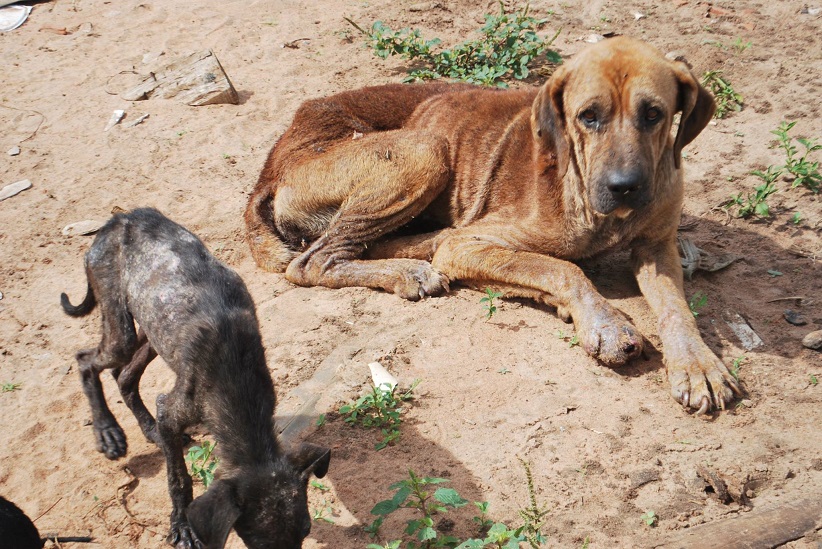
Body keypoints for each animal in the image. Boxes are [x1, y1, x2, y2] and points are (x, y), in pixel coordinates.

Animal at [62, 209, 332, 548]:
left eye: (305, 531)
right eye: (258, 544)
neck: (237, 381)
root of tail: (119, 218)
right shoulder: (172, 410)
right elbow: (178, 477)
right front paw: (182, 525)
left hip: (153, 330)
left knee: (123, 375)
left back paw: (148, 429)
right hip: (120, 330)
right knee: (86, 360)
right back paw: (107, 431)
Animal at [245, 36, 740, 414]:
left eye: (654, 114)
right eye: (588, 116)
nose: (625, 187)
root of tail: (270, 163)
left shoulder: (657, 248)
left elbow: (676, 307)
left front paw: (698, 365)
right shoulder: (477, 243)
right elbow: (562, 268)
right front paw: (605, 324)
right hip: (426, 148)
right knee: (314, 262)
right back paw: (409, 270)